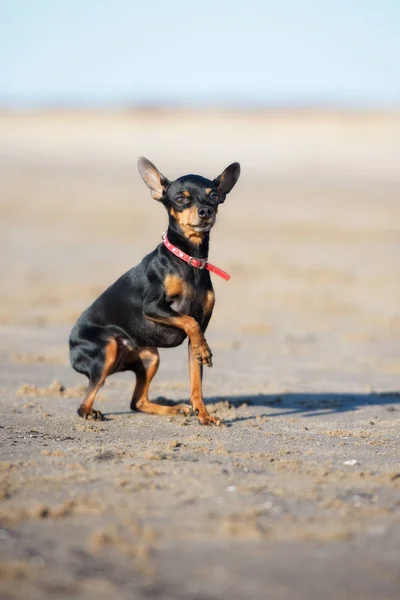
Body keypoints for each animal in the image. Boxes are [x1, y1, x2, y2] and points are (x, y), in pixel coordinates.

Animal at [68, 157, 241, 424]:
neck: (188, 260)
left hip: (150, 357)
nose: (206, 211)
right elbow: (189, 320)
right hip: (107, 350)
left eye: (213, 196)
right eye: (180, 199)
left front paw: (204, 416)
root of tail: (70, 345)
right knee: (86, 398)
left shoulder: (195, 336)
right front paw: (206, 351)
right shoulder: (153, 307)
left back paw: (175, 409)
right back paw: (90, 412)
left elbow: (196, 382)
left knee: (137, 402)